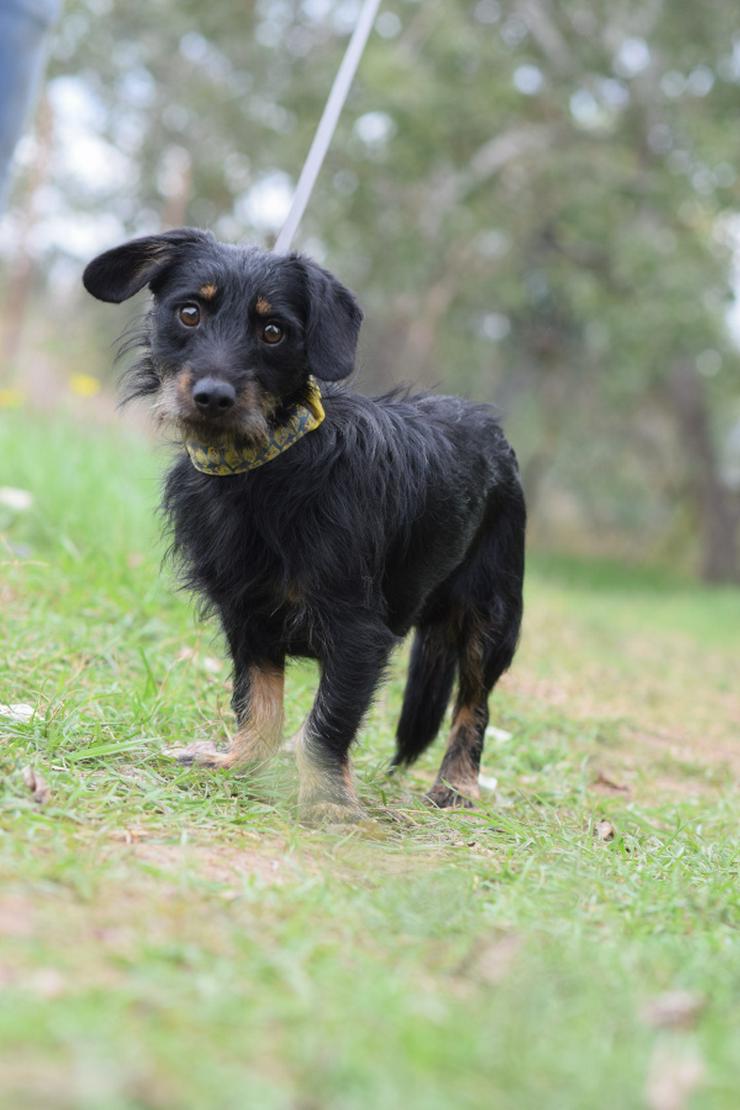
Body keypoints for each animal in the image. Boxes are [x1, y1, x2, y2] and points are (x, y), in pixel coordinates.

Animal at [83, 229, 525, 821]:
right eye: (189, 313)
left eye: (273, 331)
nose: (212, 397)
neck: (268, 466)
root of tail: (490, 428)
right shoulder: (245, 616)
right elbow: (258, 703)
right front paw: (240, 761)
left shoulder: (357, 633)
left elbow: (329, 721)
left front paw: (329, 801)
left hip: (491, 617)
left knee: (475, 704)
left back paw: (456, 784)